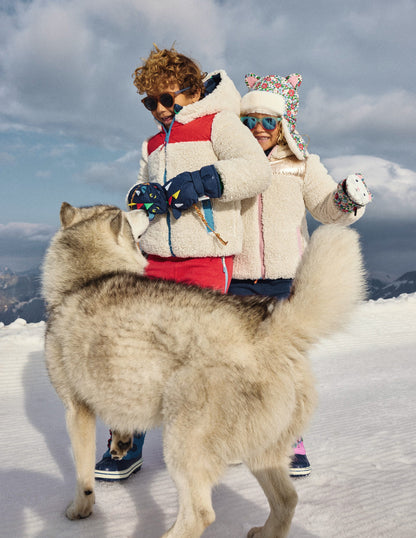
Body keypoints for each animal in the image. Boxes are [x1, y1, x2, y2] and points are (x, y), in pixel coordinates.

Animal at [43, 202, 364, 536]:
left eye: (125, 216)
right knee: (288, 499)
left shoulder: (76, 410)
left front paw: (79, 510)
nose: (140, 206)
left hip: (182, 442)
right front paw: (121, 444)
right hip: (261, 454)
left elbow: (82, 476)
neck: (85, 278)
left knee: (199, 514)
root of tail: (268, 331)